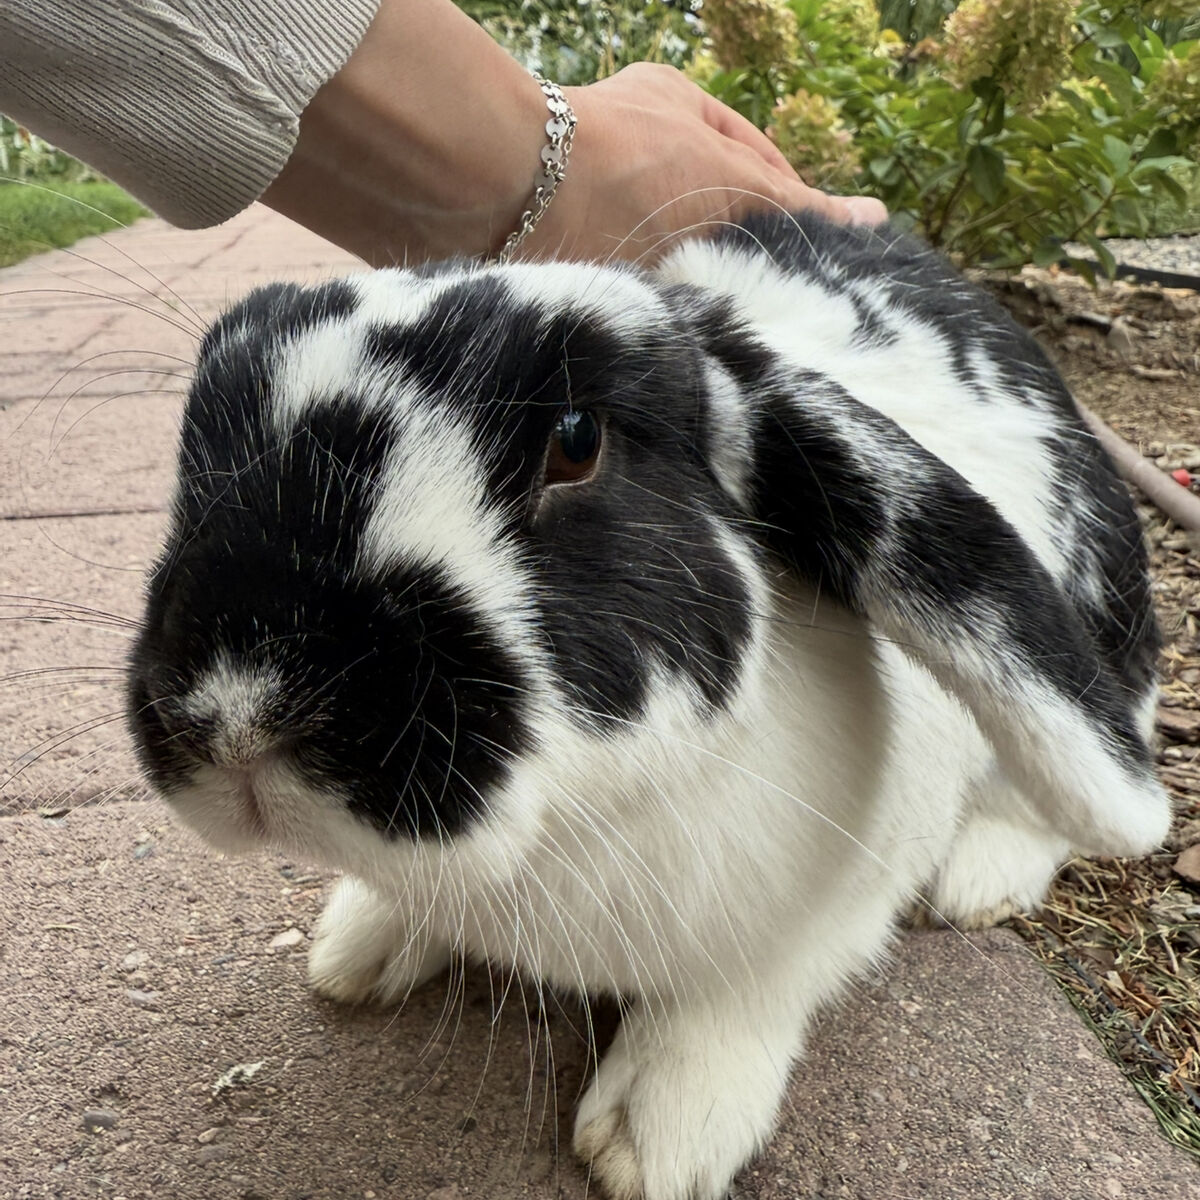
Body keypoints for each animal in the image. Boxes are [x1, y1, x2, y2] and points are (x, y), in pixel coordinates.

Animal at [126, 210, 1171, 1200]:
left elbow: (747, 992)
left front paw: (657, 1134)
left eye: (576, 441)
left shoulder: (836, 903)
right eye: (202, 434)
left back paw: (979, 882)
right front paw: (361, 947)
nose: (239, 715)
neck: (563, 827)